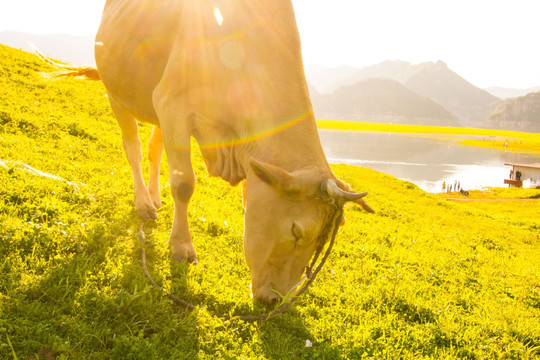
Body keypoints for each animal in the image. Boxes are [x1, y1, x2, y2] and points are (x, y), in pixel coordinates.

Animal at [84, 0, 374, 306]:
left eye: (325, 238)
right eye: (296, 231)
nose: (276, 300)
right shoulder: (172, 105)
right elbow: (183, 183)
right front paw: (181, 247)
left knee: (154, 150)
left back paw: (154, 197)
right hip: (116, 93)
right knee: (134, 149)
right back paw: (143, 203)